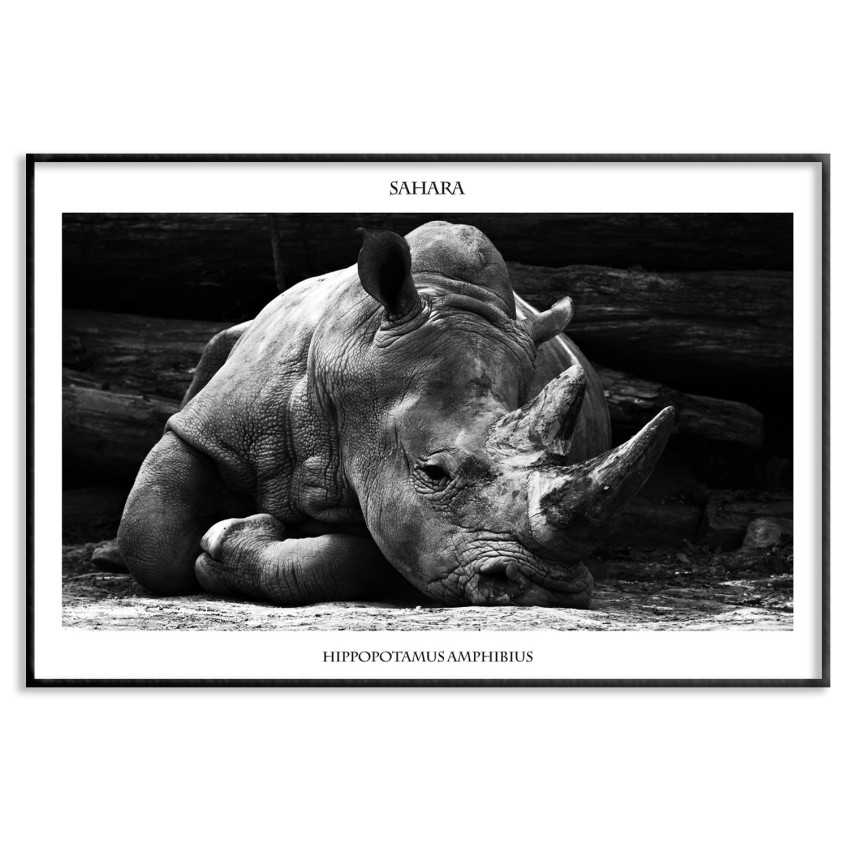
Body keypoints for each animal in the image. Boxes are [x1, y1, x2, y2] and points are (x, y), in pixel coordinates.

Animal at [117, 221, 673, 608]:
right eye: (434, 472)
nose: (545, 588)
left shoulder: (403, 513)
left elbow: (367, 555)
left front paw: (228, 542)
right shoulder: (213, 428)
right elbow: (149, 538)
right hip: (233, 337)